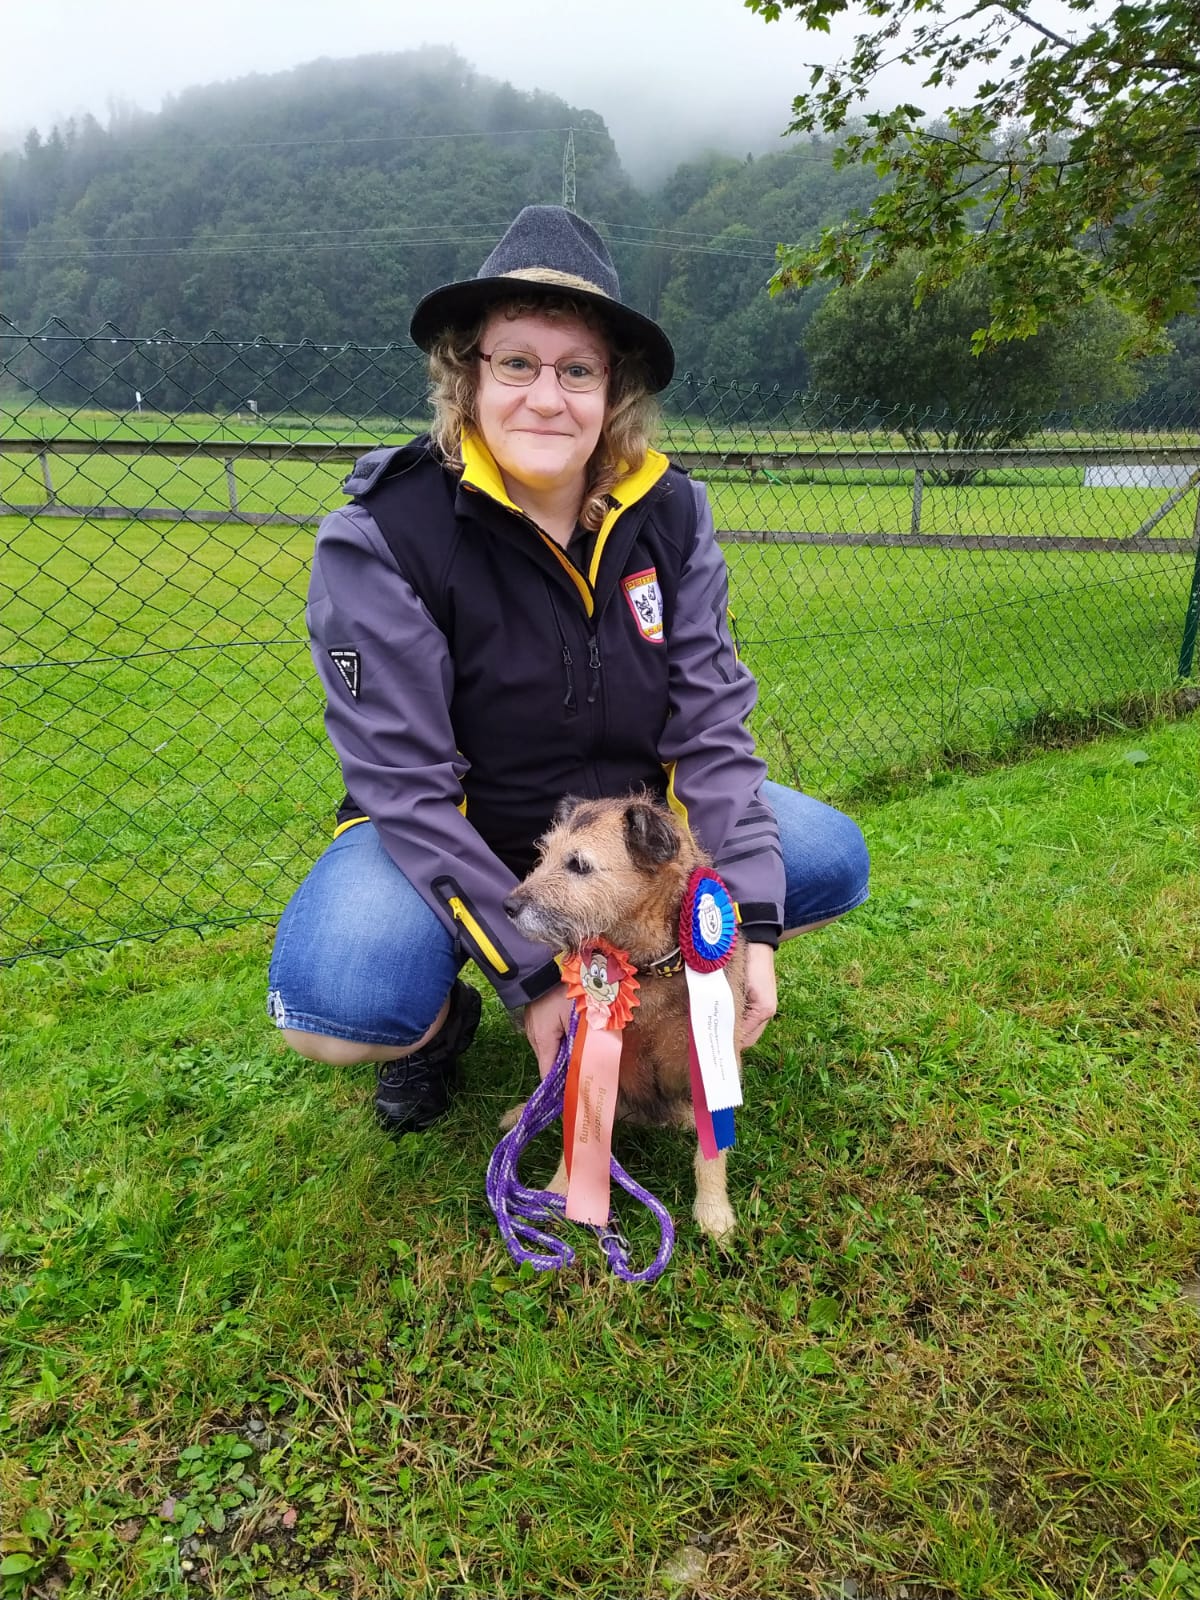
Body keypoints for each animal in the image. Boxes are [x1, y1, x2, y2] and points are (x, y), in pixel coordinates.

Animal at [502, 793, 745, 1242]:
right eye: (544, 853)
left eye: (579, 864)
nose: (508, 905)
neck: (646, 969)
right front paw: (559, 1192)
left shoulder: (712, 1063)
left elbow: (711, 1155)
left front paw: (713, 1211)